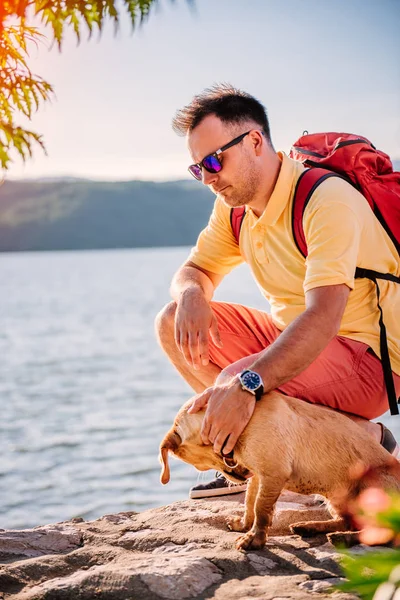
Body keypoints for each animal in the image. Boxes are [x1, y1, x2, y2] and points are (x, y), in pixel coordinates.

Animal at [159, 392, 400, 552]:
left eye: (200, 466)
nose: (241, 472)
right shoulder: (258, 475)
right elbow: (249, 502)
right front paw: (244, 525)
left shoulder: (272, 474)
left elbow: (261, 508)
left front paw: (254, 540)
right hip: (337, 498)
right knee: (348, 520)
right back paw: (309, 527)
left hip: (372, 486)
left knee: (386, 533)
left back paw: (343, 539)